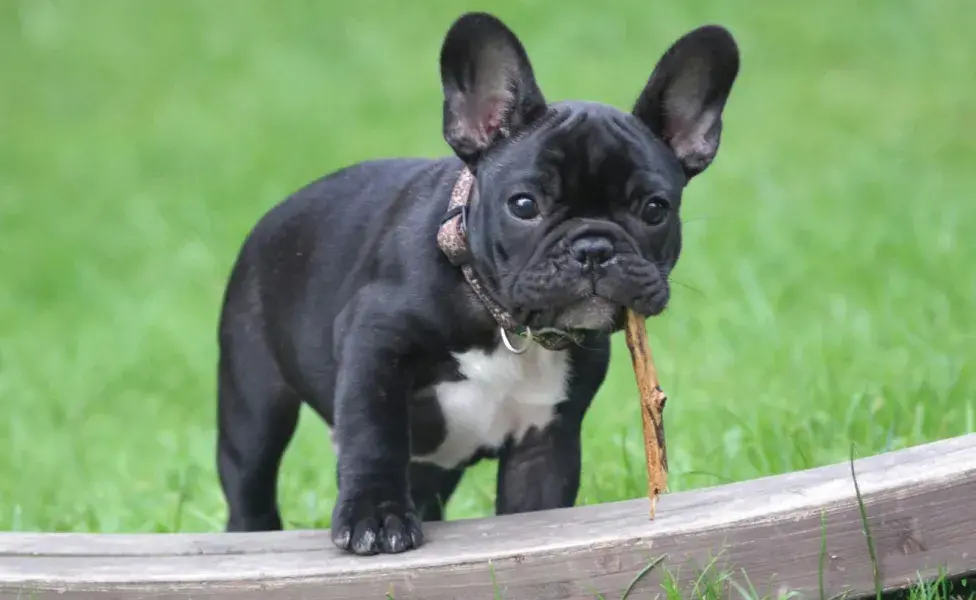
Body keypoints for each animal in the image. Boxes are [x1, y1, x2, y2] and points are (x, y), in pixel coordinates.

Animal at [217, 11, 740, 556]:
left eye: (655, 210)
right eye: (524, 205)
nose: (593, 248)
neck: (501, 320)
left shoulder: (544, 442)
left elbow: (538, 507)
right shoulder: (373, 345)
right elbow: (373, 433)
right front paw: (375, 516)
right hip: (253, 403)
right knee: (250, 484)